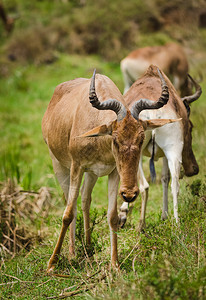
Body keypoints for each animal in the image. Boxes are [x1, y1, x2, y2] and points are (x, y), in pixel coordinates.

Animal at [41, 68, 179, 272]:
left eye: (141, 138)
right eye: (115, 138)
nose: (129, 194)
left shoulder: (113, 172)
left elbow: (112, 216)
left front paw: (115, 264)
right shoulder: (76, 166)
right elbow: (68, 213)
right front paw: (52, 263)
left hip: (92, 173)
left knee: (85, 198)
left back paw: (88, 247)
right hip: (59, 164)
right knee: (70, 202)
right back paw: (73, 252)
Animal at [119, 65, 201, 230]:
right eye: (190, 126)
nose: (194, 169)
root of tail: (152, 112)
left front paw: (123, 214)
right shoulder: (164, 154)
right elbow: (165, 178)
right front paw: (164, 215)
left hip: (137, 153)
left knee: (144, 186)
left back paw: (141, 226)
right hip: (173, 151)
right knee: (174, 184)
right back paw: (176, 224)